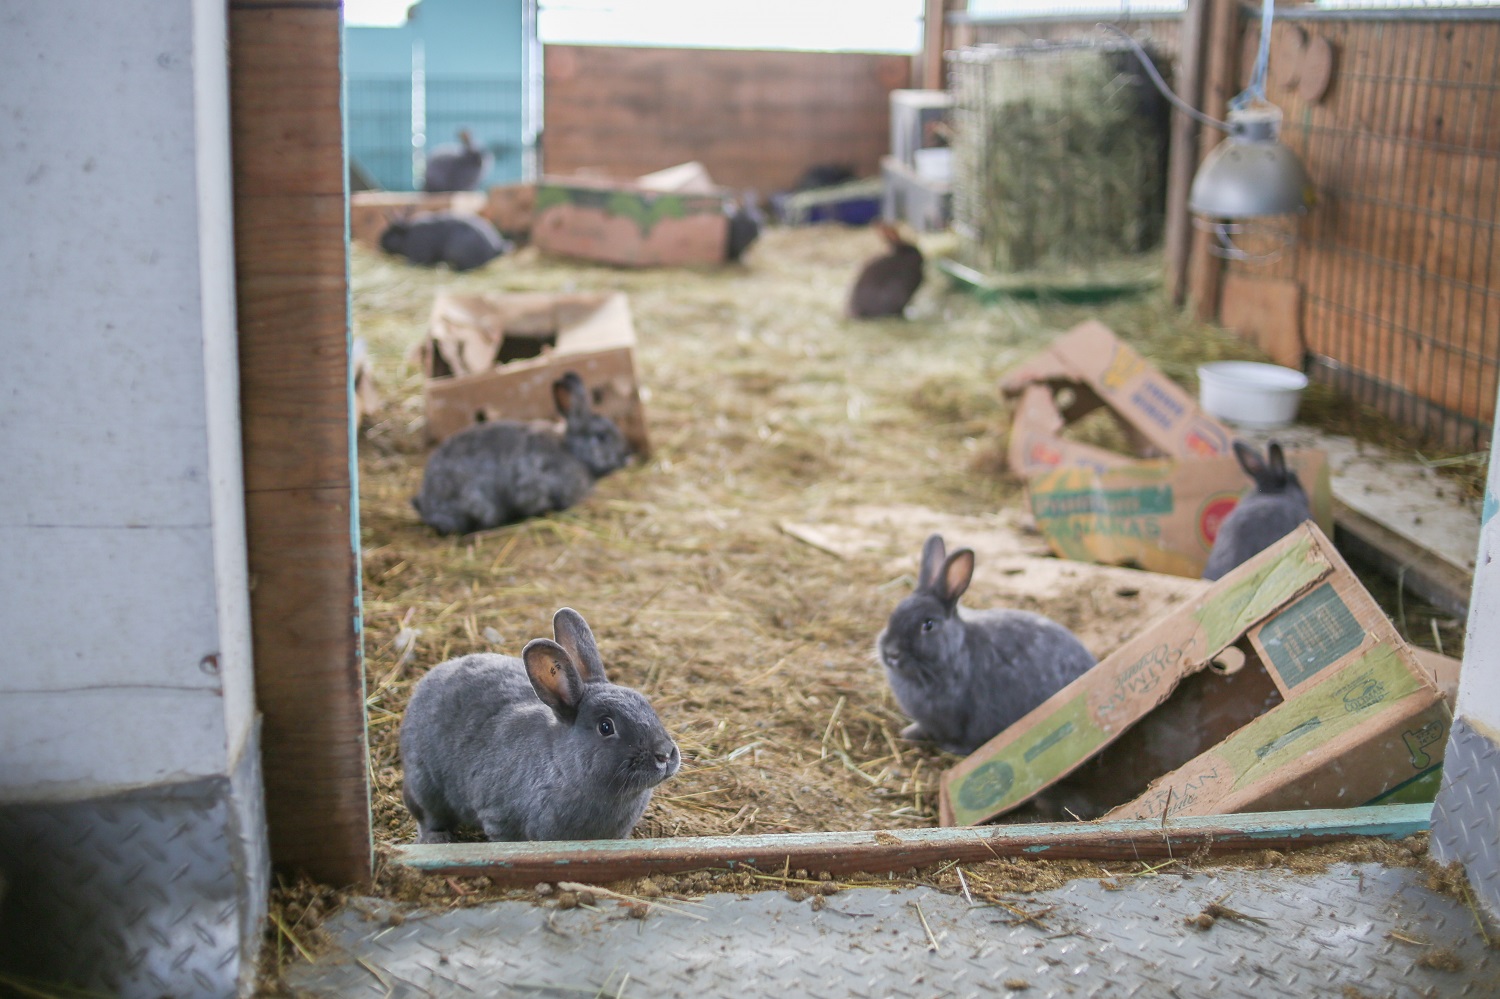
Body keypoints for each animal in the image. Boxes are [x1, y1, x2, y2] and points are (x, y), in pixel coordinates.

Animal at [399, 606, 681, 840]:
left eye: (646, 703)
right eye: (606, 727)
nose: (665, 754)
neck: (563, 769)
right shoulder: (499, 820)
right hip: (424, 785)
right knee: (429, 818)